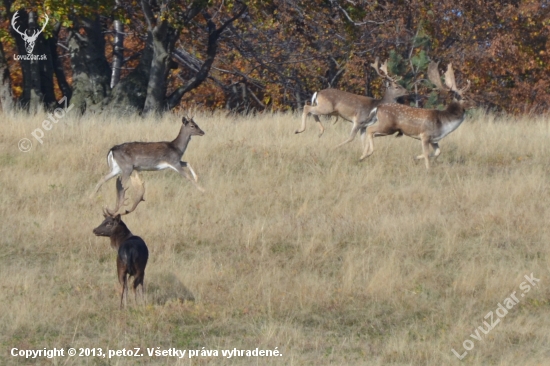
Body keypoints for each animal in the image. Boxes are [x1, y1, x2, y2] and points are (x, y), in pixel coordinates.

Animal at [93, 173, 149, 308]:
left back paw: (124, 306)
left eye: (108, 223)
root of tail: (129, 252)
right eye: (104, 220)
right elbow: (141, 287)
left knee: (125, 286)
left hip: (122, 267)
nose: (94, 229)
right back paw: (132, 305)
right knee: (131, 286)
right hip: (134, 267)